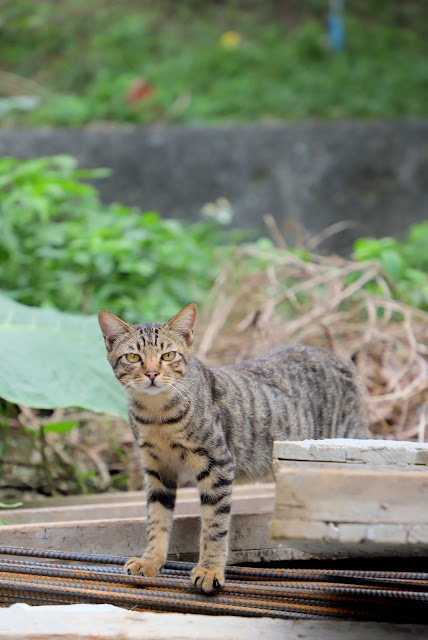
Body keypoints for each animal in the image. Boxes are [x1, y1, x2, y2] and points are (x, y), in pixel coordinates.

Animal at [97, 304, 368, 596]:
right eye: (133, 357)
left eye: (168, 355)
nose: (151, 374)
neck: (157, 416)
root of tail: (340, 358)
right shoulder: (158, 469)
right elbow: (156, 519)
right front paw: (150, 561)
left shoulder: (217, 463)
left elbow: (214, 525)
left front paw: (209, 570)